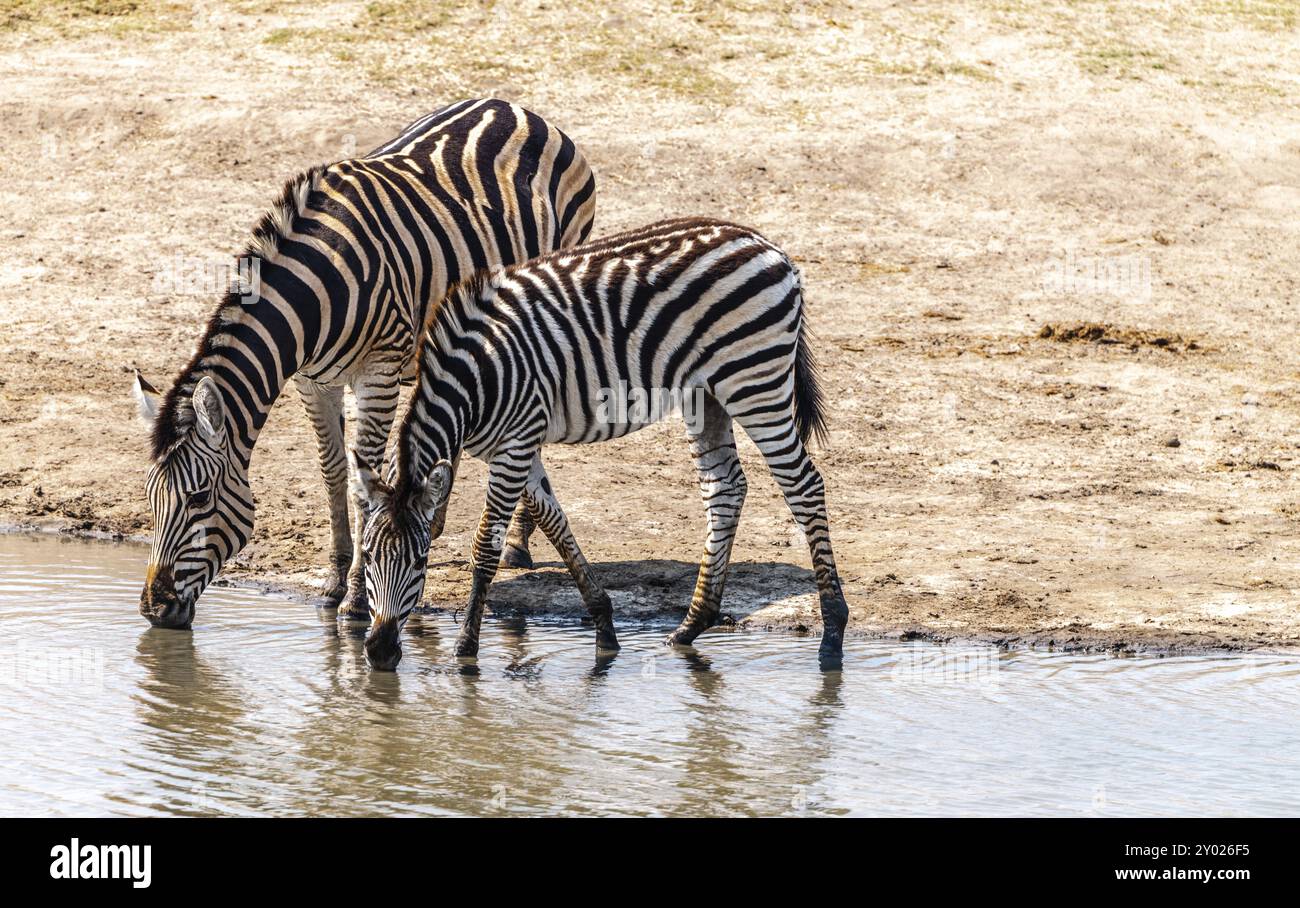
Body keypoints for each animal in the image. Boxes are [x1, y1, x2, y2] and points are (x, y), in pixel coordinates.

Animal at [131, 99, 596, 629]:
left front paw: (355, 597)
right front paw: (335, 579)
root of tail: (514, 107)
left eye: (198, 499)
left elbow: (361, 482)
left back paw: (517, 541)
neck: (315, 290)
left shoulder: (379, 372)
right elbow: (332, 472)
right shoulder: (312, 380)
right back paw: (434, 520)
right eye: (150, 499)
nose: (154, 609)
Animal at [352, 217, 850, 671]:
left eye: (420, 560)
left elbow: (486, 547)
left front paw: (466, 649)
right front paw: (604, 626)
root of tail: (768, 246)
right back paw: (691, 627)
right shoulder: (518, 444)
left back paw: (832, 633)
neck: (476, 377)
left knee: (803, 484)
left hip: (754, 380)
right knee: (725, 488)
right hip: (706, 394)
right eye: (369, 555)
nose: (378, 653)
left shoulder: (514, 445)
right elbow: (555, 521)